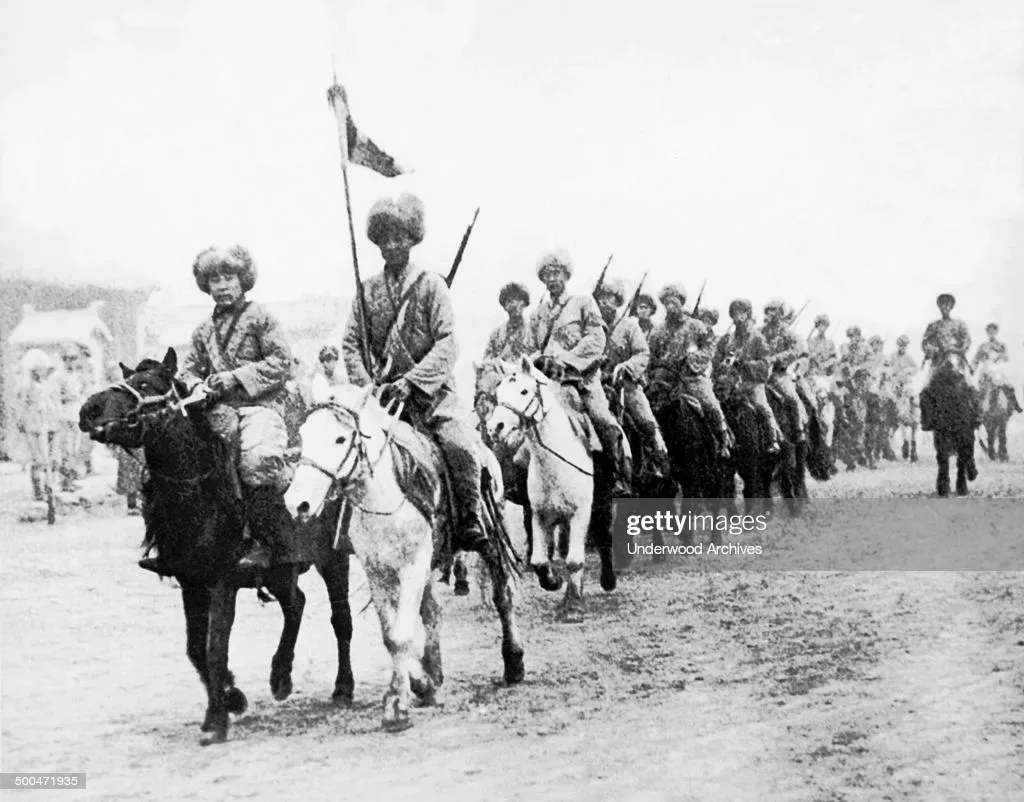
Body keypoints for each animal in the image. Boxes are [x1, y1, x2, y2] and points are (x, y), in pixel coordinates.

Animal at [76, 352, 356, 745]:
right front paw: (230, 698)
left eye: (146, 384)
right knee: (296, 604)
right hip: (279, 570)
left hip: (334, 558)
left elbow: (214, 647)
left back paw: (343, 687)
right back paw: (280, 676)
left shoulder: (223, 583)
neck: (198, 493)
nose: (89, 409)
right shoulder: (190, 583)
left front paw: (218, 719)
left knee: (340, 618)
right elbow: (196, 649)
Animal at [284, 385, 524, 729]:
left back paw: (514, 661)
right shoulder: (378, 572)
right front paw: (421, 683)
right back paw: (434, 673)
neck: (383, 500)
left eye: (340, 439)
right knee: (433, 611)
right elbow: (390, 635)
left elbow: (400, 635)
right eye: (304, 435)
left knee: (503, 595)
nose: (297, 503)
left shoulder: (411, 567)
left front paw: (397, 706)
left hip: (490, 540)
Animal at [485, 358, 598, 626]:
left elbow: (575, 560)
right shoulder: (539, 515)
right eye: (499, 393)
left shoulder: (581, 515)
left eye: (524, 391)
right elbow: (538, 560)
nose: (495, 428)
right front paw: (553, 581)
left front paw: (573, 606)